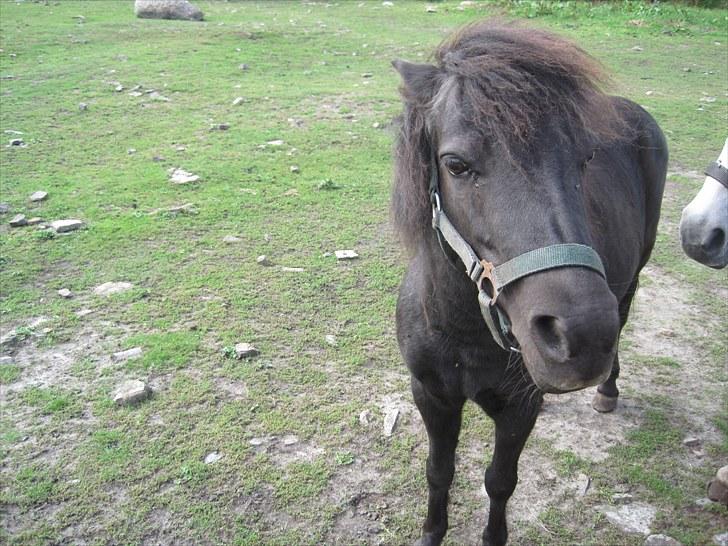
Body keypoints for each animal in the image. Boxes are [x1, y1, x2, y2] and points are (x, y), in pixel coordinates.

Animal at [392, 21, 664, 544]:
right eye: (455, 164)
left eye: (586, 159)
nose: (582, 338)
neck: (463, 331)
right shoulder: (432, 395)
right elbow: (439, 471)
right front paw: (431, 532)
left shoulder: (518, 410)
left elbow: (500, 482)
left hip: (630, 282)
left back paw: (608, 390)